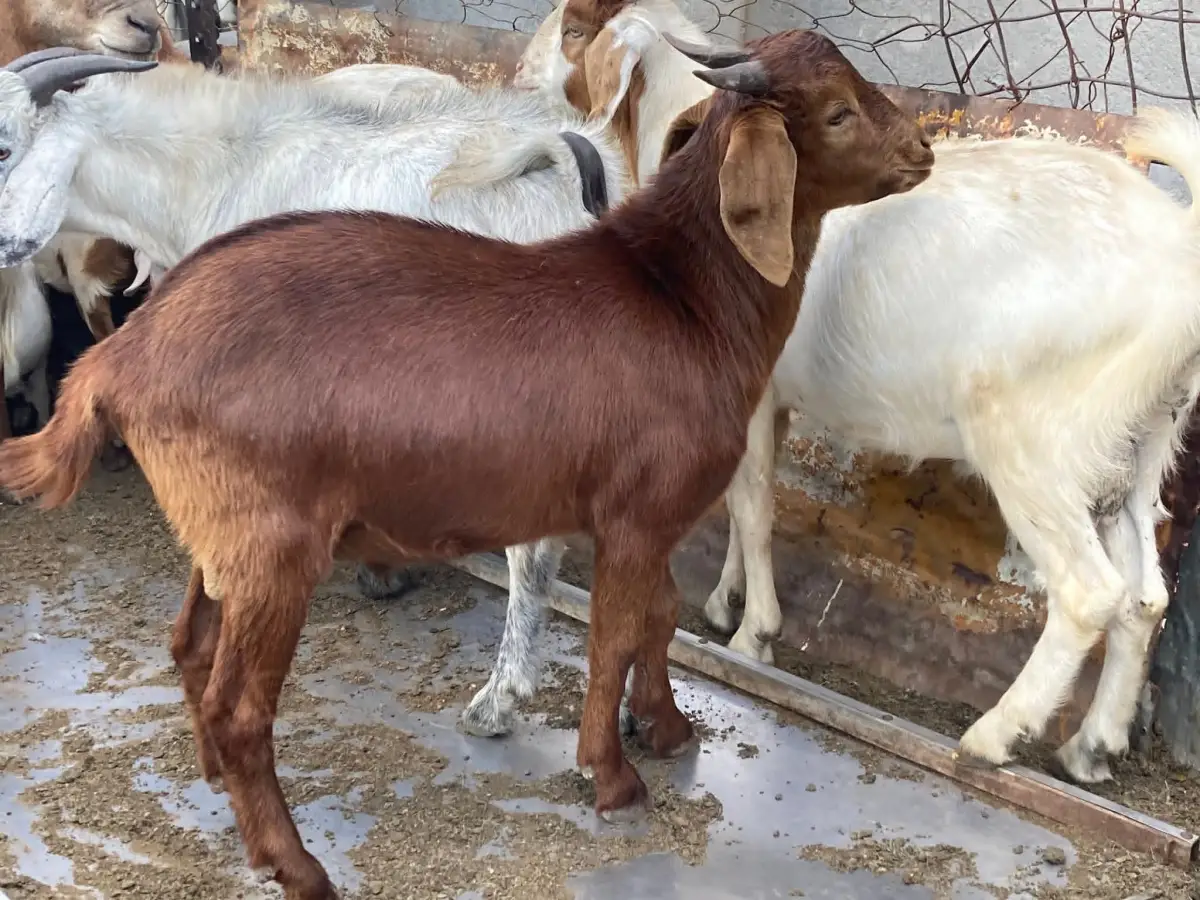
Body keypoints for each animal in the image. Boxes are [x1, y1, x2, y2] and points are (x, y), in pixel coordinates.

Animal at [0, 30, 933, 899]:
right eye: (838, 113)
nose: (924, 149)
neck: (681, 294)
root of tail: (118, 358)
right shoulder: (635, 515)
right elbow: (614, 635)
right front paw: (612, 777)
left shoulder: (652, 512)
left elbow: (660, 617)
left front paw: (665, 728)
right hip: (275, 549)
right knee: (240, 708)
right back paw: (297, 864)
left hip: (222, 530)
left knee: (189, 646)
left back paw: (221, 792)